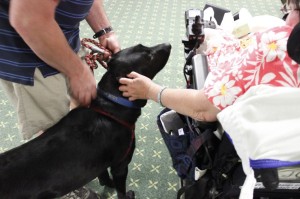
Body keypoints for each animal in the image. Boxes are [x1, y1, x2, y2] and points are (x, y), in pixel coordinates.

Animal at [0, 42, 171, 198]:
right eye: (149, 56)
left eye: (144, 46)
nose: (168, 44)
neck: (109, 108)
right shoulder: (121, 165)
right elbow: (121, 191)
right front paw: (126, 194)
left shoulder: (99, 163)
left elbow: (104, 177)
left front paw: (107, 184)